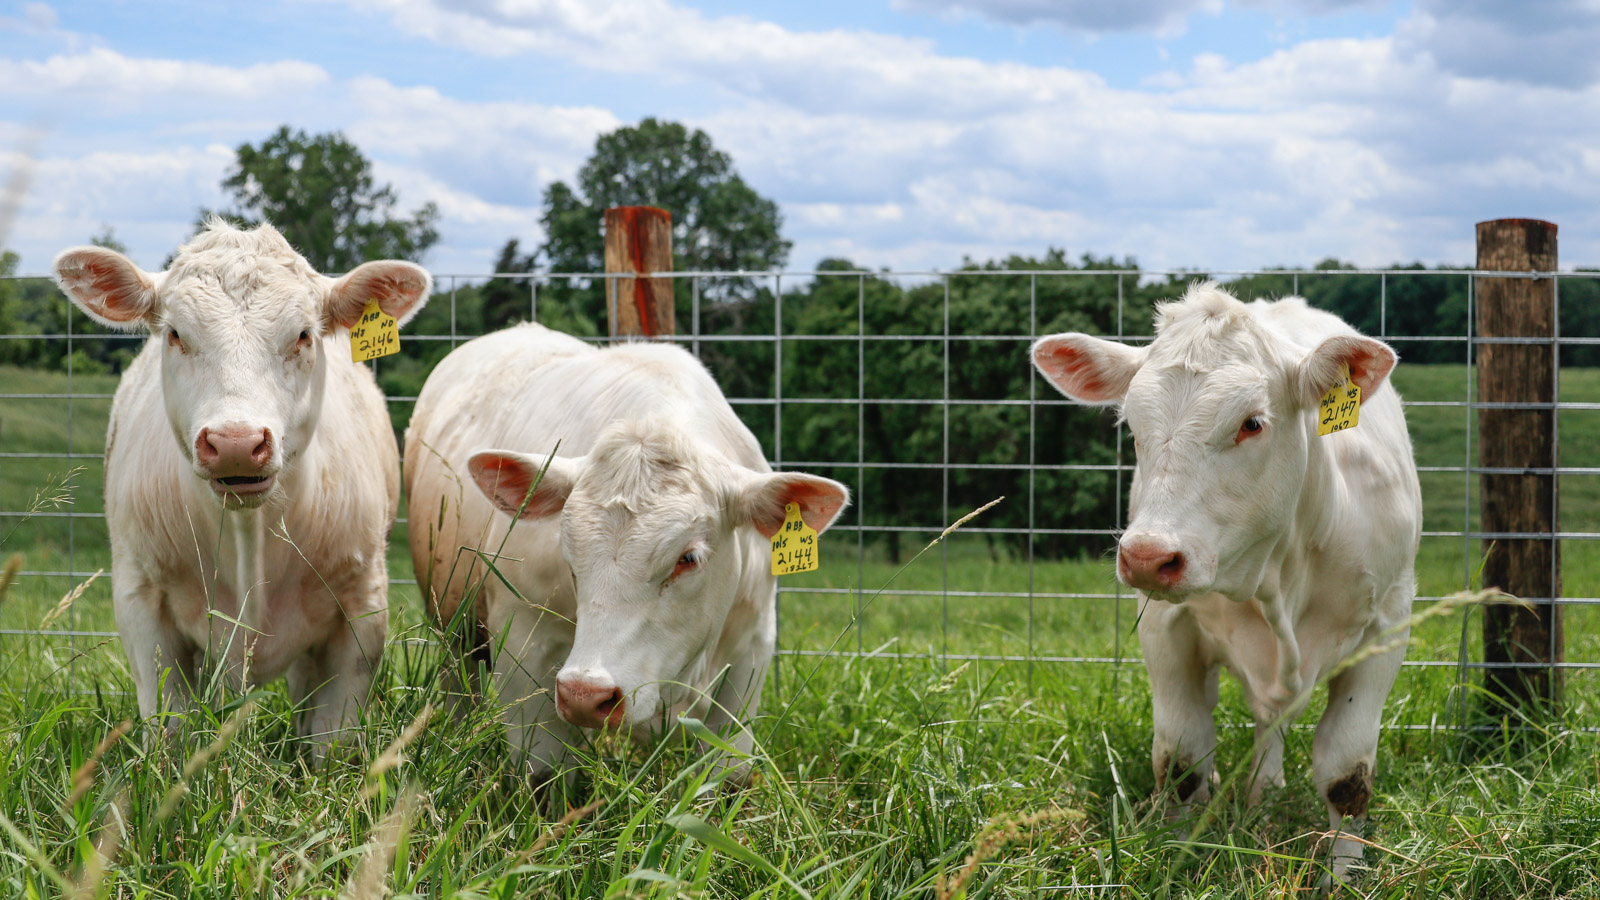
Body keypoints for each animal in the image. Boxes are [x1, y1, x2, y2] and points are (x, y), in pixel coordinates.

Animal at [54, 217, 432, 749]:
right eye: (175, 334)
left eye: (303, 335)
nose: (236, 442)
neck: (247, 536)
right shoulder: (140, 597)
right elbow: (169, 725)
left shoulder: (363, 604)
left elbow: (333, 737)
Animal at [403, 321, 851, 778]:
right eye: (570, 555)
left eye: (688, 558)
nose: (585, 695)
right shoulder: (523, 639)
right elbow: (545, 771)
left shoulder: (753, 645)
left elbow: (728, 770)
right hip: (451, 624)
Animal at [1036, 283, 1427, 877]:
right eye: (1132, 427)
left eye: (1251, 423)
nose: (1148, 557)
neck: (1274, 576)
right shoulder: (1165, 625)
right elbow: (1181, 759)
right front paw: (1171, 854)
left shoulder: (1388, 622)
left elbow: (1347, 774)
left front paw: (1345, 874)